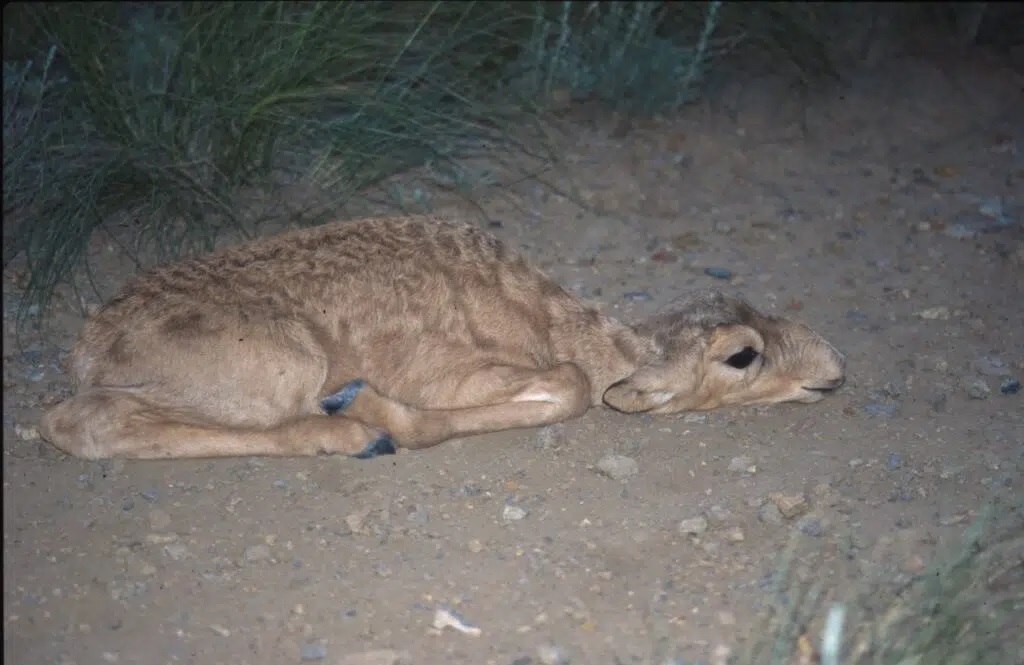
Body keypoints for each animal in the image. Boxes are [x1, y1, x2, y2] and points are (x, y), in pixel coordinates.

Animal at [39, 215, 843, 459]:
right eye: (742, 355)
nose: (835, 365)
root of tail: (89, 345)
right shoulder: (463, 375)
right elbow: (573, 387)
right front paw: (371, 409)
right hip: (283, 365)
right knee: (83, 421)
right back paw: (346, 432)